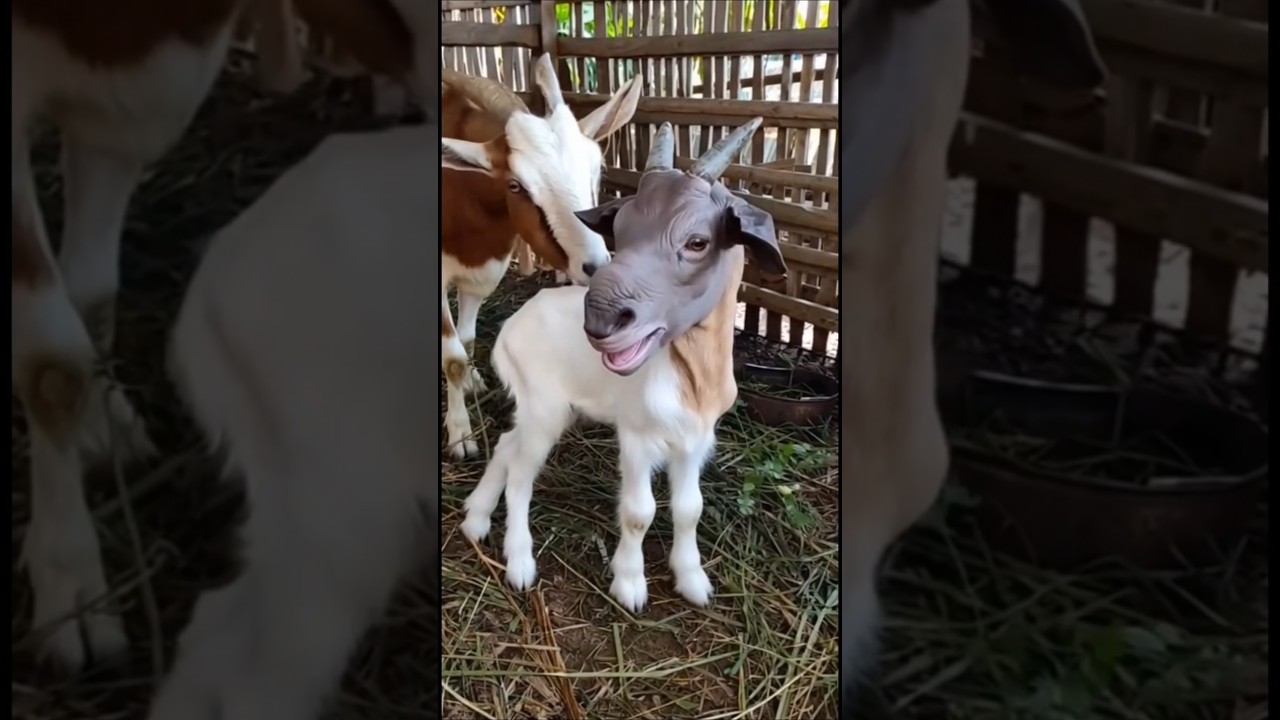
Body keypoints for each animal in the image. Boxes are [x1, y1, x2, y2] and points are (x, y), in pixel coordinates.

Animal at [440, 56, 641, 459]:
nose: (595, 266)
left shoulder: (482, 269)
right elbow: (451, 357)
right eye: (515, 186)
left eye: (599, 169)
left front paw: (469, 383)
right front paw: (461, 435)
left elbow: (465, 341)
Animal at [459, 119, 789, 612]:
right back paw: (519, 563)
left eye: (698, 241)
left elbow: (690, 509)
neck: (692, 380)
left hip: (547, 408)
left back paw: (475, 519)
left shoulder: (695, 439)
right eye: (621, 228)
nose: (600, 322)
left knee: (505, 444)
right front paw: (630, 584)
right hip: (544, 406)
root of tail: (510, 327)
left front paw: (692, 580)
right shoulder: (636, 434)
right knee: (520, 472)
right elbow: (638, 512)